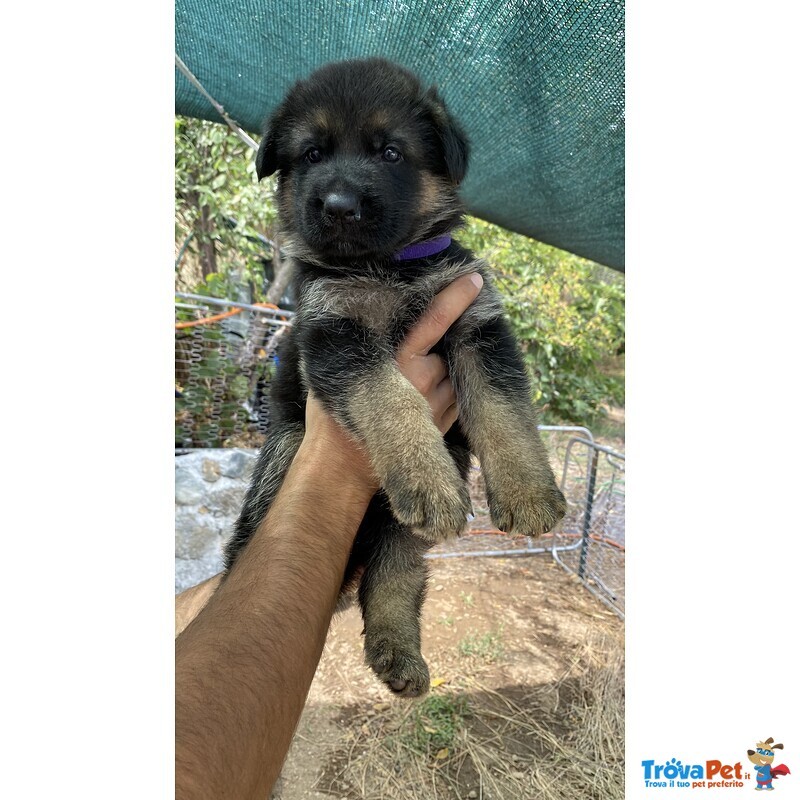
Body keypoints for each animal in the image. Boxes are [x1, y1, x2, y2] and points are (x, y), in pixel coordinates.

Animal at [222, 57, 564, 692]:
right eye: (312, 154)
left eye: (390, 152)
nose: (338, 205)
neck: (387, 267)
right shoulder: (335, 335)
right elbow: (391, 398)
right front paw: (426, 477)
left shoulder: (478, 323)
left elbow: (503, 410)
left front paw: (528, 493)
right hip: (281, 461)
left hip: (398, 533)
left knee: (394, 577)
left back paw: (396, 651)